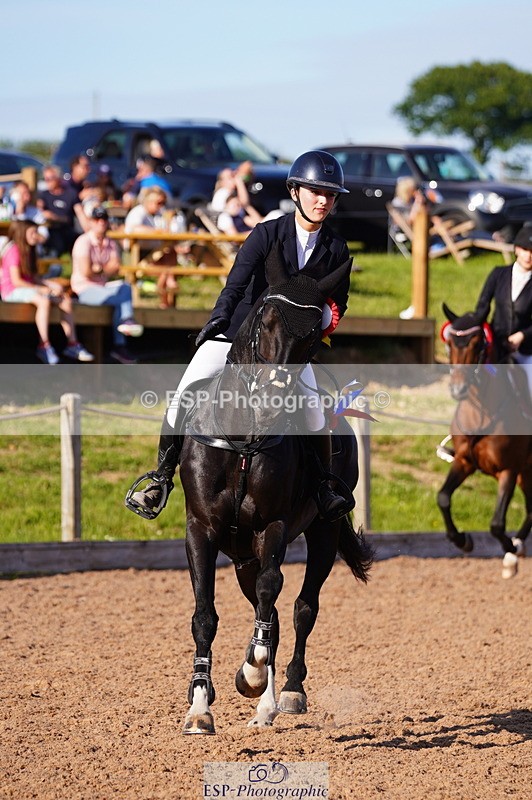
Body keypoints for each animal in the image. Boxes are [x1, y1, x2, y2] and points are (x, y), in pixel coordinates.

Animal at [177, 245, 374, 734]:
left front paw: (249, 676)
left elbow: (272, 594)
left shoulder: (274, 525)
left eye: (314, 333)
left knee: (301, 608)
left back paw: (284, 692)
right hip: (242, 554)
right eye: (265, 318)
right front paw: (199, 706)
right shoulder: (200, 528)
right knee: (274, 613)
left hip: (322, 531)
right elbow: (204, 615)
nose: (270, 399)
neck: (243, 436)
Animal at [437, 303, 532, 579]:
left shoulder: (509, 469)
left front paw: (511, 553)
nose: (458, 390)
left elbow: (497, 524)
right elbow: (443, 498)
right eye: (450, 344)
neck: (481, 409)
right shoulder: (464, 461)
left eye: (478, 344)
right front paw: (463, 540)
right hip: (527, 473)